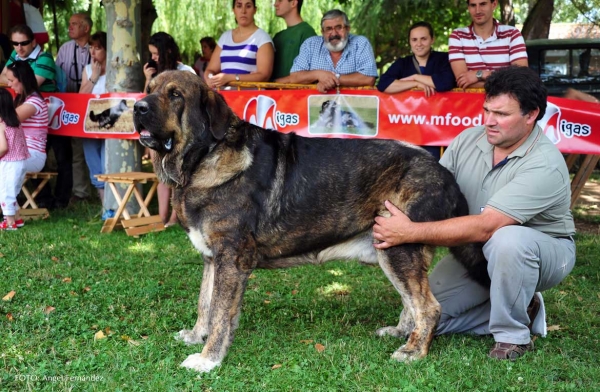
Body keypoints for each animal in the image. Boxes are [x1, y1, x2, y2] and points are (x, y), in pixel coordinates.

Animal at [132, 71, 488, 374]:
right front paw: (196, 337)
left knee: (428, 307)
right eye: (150, 87)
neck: (204, 157)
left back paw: (414, 351)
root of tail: (443, 171)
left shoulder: (231, 258)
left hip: (400, 248)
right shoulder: (211, 258)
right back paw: (401, 333)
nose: (137, 107)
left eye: (175, 95)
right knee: (411, 302)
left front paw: (209, 358)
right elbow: (204, 304)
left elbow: (220, 311)